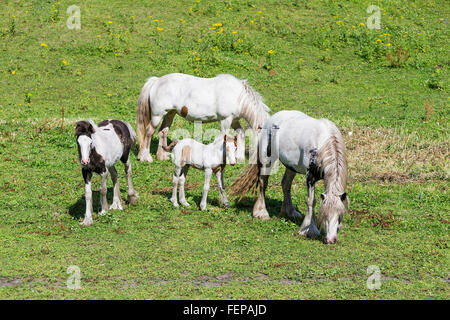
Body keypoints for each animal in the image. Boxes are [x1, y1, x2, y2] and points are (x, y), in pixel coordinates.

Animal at [137, 73, 268, 162]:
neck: (237, 96)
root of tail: (157, 81)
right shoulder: (225, 120)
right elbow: (223, 137)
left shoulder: (234, 120)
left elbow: (240, 133)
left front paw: (239, 157)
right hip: (157, 116)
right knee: (149, 132)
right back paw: (146, 157)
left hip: (170, 114)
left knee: (162, 132)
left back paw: (162, 156)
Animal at [230, 110, 350, 245]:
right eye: (325, 215)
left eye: (340, 216)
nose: (330, 240)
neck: (323, 143)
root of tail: (272, 118)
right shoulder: (310, 177)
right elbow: (311, 201)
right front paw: (308, 230)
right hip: (268, 160)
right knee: (263, 183)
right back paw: (261, 212)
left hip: (291, 167)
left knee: (285, 184)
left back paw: (289, 211)